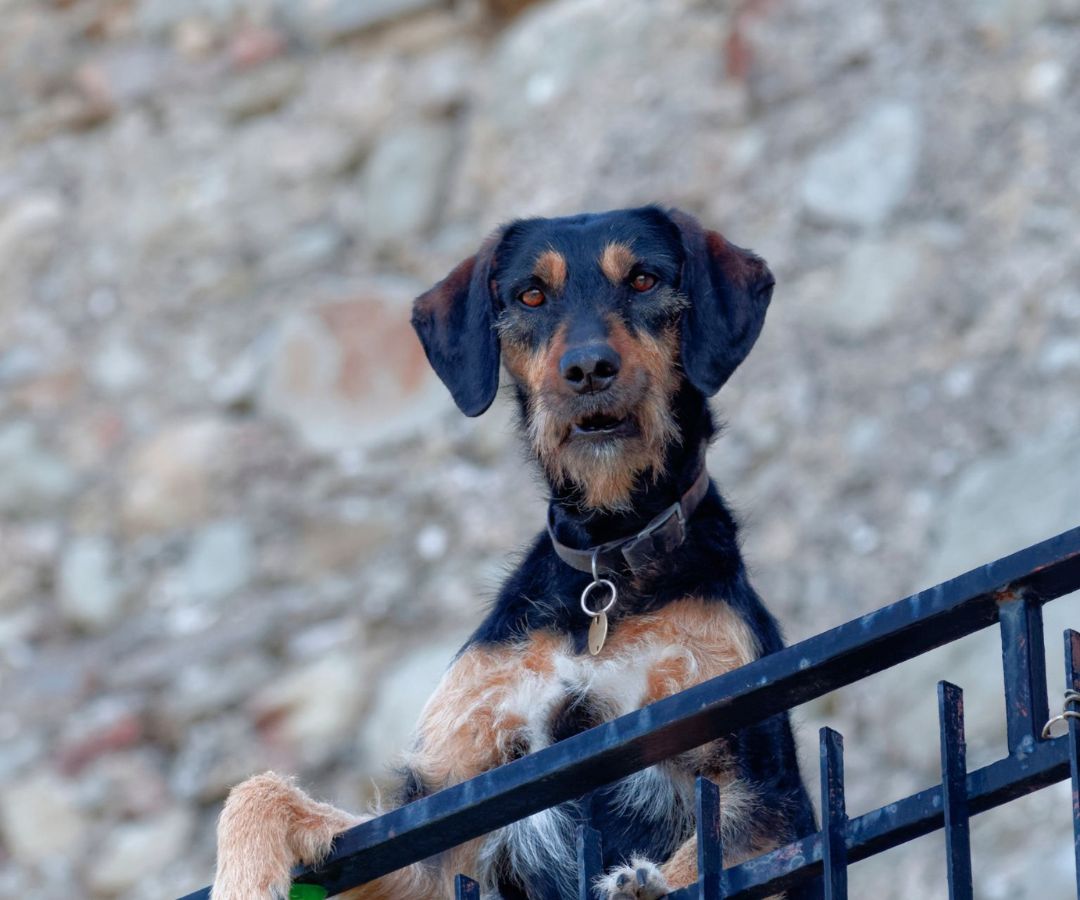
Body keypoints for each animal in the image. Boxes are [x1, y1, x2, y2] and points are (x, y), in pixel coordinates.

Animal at [208, 207, 816, 898]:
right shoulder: (450, 822)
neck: (605, 566)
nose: (587, 369)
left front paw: (639, 882)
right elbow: (260, 794)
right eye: (530, 295)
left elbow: (703, 857)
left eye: (643, 279)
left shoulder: (766, 796)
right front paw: (243, 877)